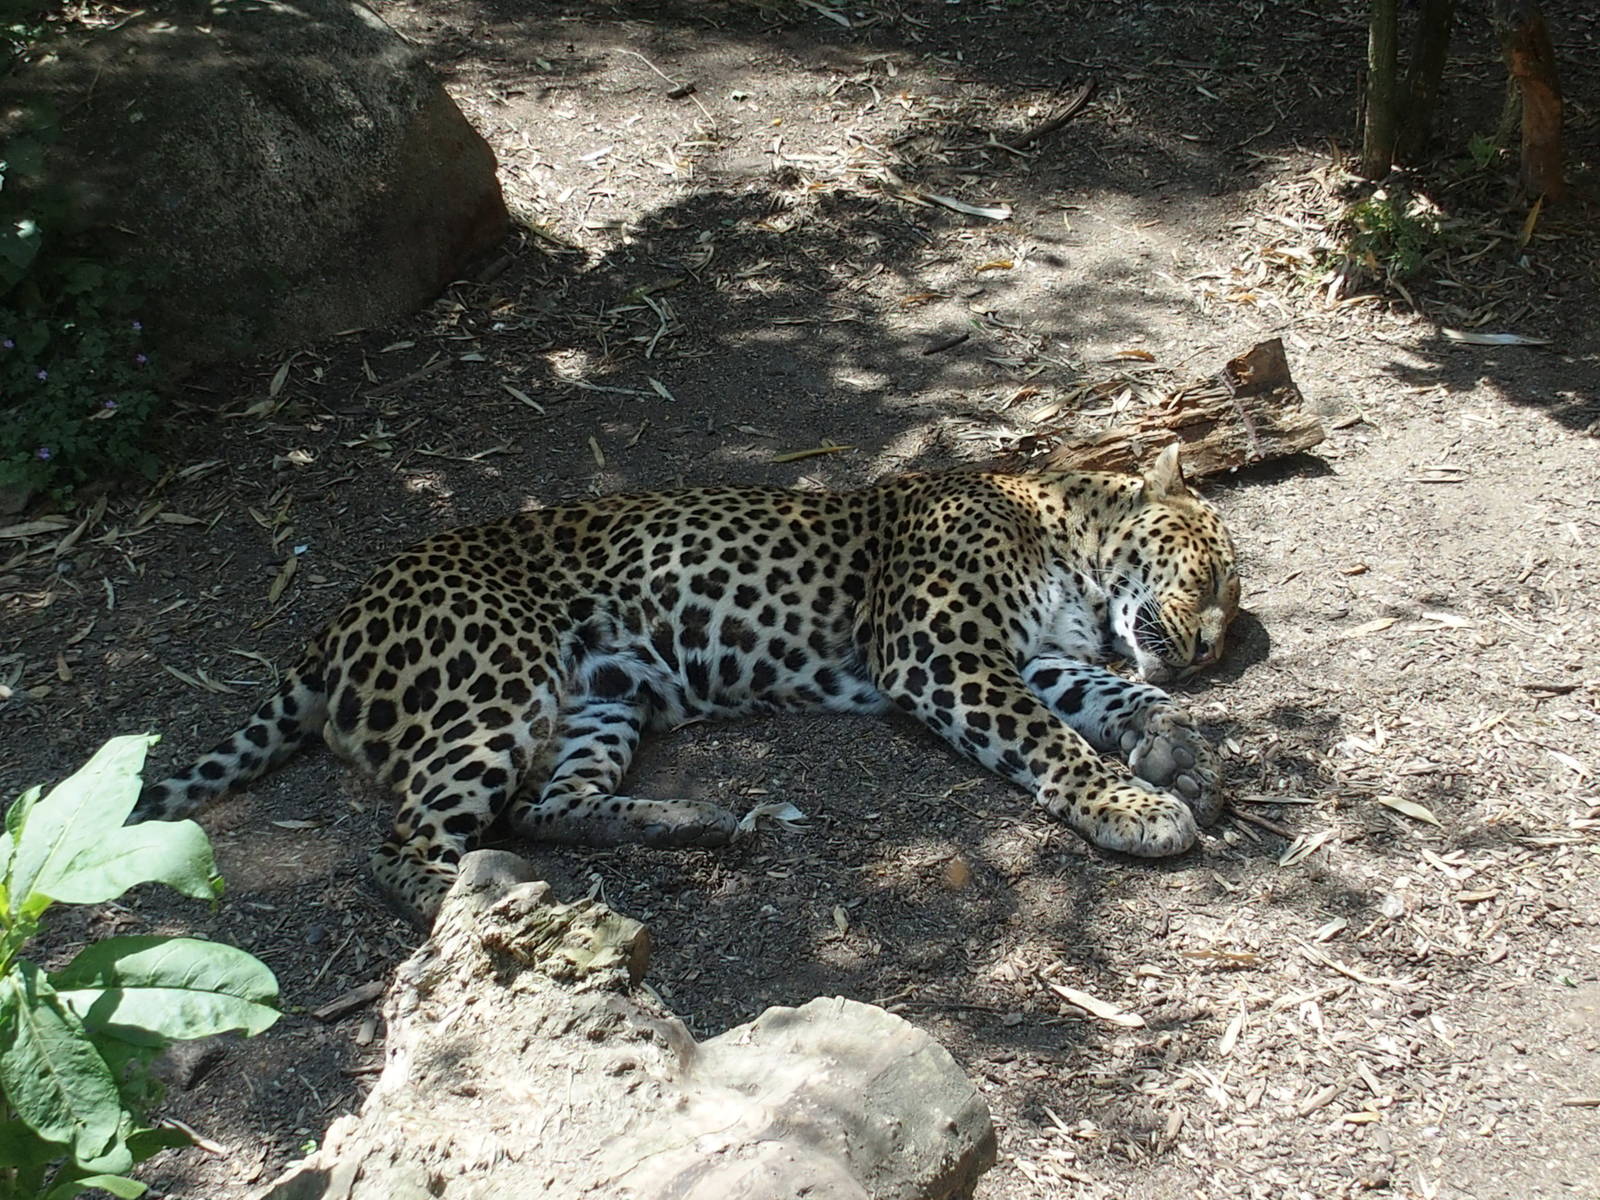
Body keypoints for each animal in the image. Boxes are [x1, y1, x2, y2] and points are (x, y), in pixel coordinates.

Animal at [132, 443, 1240, 927]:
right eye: (1218, 576)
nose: (1208, 652)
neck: (1066, 539)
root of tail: (334, 619)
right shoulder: (944, 653)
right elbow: (1052, 740)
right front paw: (1137, 808)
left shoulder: (1032, 655)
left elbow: (1117, 698)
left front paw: (1182, 755)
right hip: (494, 690)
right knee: (397, 850)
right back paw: (482, 908)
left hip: (603, 696)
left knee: (545, 806)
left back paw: (707, 823)